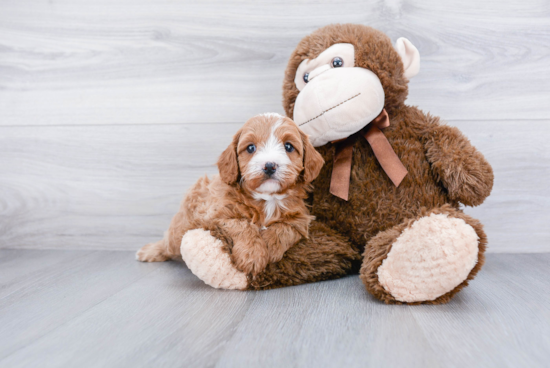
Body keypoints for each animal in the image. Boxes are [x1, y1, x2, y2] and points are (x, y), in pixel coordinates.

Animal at [138, 113, 326, 274]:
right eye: (250, 148)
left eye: (288, 146)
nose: (269, 165)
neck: (267, 199)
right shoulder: (216, 213)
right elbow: (242, 224)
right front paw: (252, 256)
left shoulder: (300, 218)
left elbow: (285, 228)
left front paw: (270, 247)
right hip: (180, 229)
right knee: (168, 243)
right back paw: (150, 251)